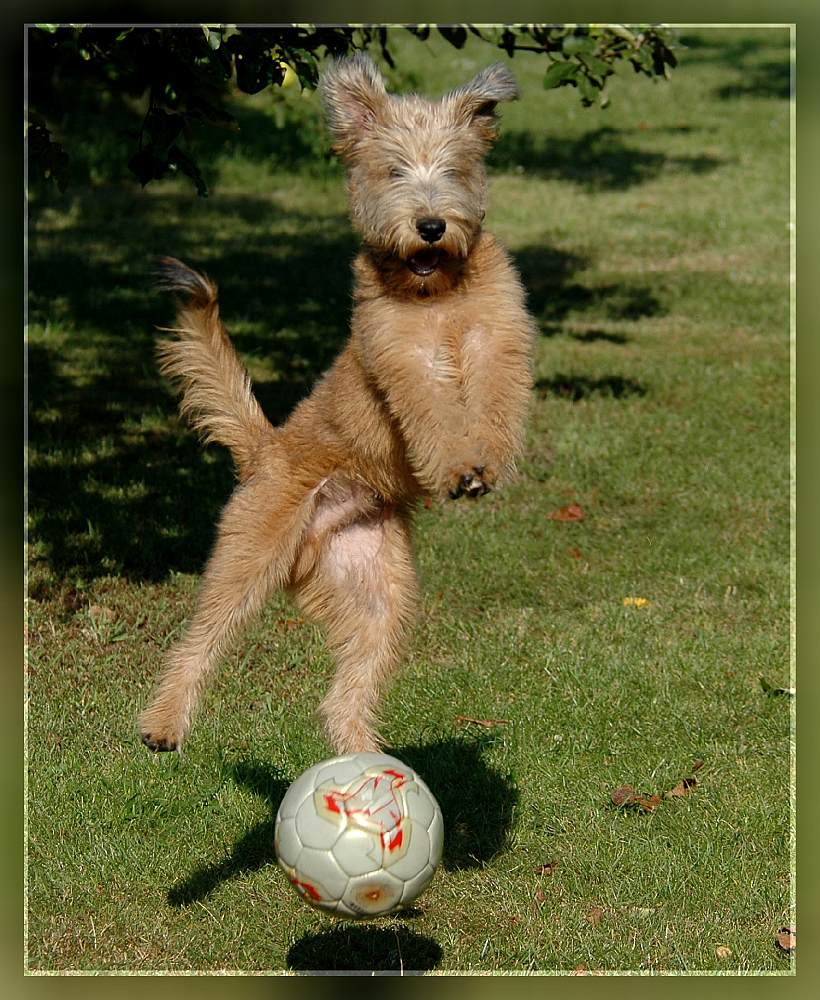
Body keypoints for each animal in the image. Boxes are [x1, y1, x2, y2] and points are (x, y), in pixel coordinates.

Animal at [139, 52, 540, 756]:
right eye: (394, 170)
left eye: (454, 167)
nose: (431, 225)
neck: (437, 297)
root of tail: (266, 447)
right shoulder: (405, 364)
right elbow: (436, 413)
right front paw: (457, 468)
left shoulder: (499, 340)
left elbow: (494, 401)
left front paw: (484, 464)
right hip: (246, 558)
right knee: (199, 641)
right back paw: (164, 723)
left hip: (380, 592)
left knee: (343, 693)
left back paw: (364, 757)